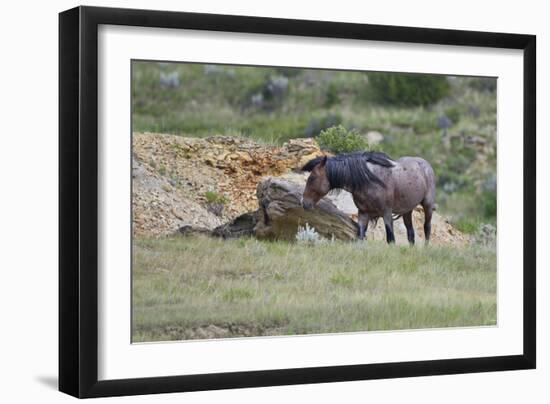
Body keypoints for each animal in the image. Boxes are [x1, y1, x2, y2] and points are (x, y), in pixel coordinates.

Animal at [302, 152, 436, 245]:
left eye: (312, 178)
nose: (304, 202)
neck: (370, 181)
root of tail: (426, 165)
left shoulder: (386, 213)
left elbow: (391, 239)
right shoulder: (363, 214)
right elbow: (360, 237)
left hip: (428, 205)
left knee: (427, 227)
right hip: (407, 210)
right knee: (411, 233)